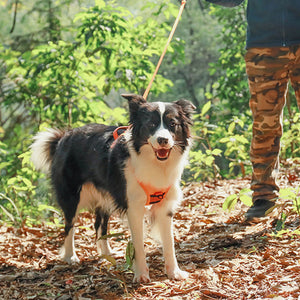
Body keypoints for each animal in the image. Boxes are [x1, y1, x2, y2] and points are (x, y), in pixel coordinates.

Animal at [30, 95, 195, 282]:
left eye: (172, 123)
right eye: (151, 124)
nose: (163, 140)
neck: (154, 163)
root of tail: (62, 138)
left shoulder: (165, 206)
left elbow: (169, 243)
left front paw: (174, 272)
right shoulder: (134, 207)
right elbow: (139, 244)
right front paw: (141, 275)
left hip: (105, 196)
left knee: (99, 226)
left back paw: (107, 255)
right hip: (71, 196)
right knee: (69, 227)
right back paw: (70, 257)